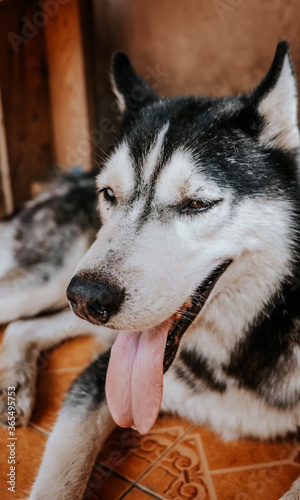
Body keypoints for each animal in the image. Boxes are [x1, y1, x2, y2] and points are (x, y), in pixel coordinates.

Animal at [0, 41, 300, 498]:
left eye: (196, 203)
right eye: (109, 194)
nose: (87, 298)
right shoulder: (98, 377)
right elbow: (58, 477)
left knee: (24, 327)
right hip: (50, 282)